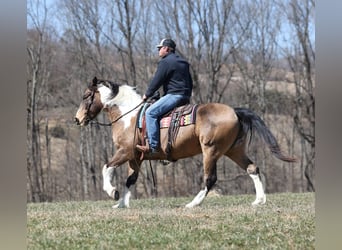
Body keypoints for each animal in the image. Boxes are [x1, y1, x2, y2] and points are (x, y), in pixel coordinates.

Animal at [75, 77, 296, 208]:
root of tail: (235, 111)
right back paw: (259, 200)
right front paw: (121, 203)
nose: (77, 119)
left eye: (86, 96)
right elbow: (130, 180)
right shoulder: (135, 158)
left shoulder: (125, 152)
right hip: (234, 151)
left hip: (211, 151)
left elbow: (106, 167)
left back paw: (193, 203)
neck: (129, 115)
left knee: (210, 178)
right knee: (253, 169)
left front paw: (112, 192)